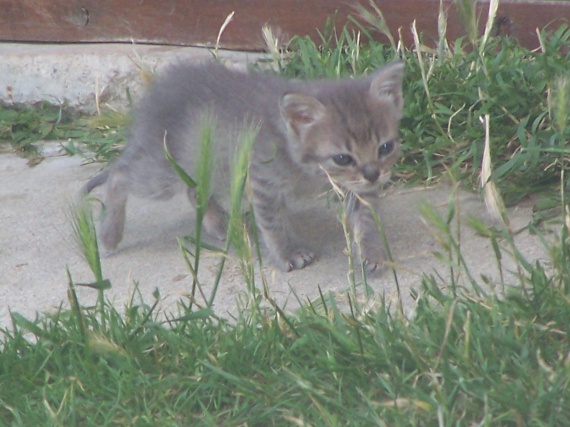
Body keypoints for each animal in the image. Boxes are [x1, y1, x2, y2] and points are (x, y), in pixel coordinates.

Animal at [83, 59, 404, 274]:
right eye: (342, 158)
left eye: (385, 148)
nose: (374, 174)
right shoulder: (262, 182)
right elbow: (273, 223)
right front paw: (288, 253)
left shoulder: (357, 188)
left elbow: (367, 220)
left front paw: (373, 252)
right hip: (163, 172)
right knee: (119, 174)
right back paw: (110, 234)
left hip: (208, 163)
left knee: (193, 189)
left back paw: (221, 225)